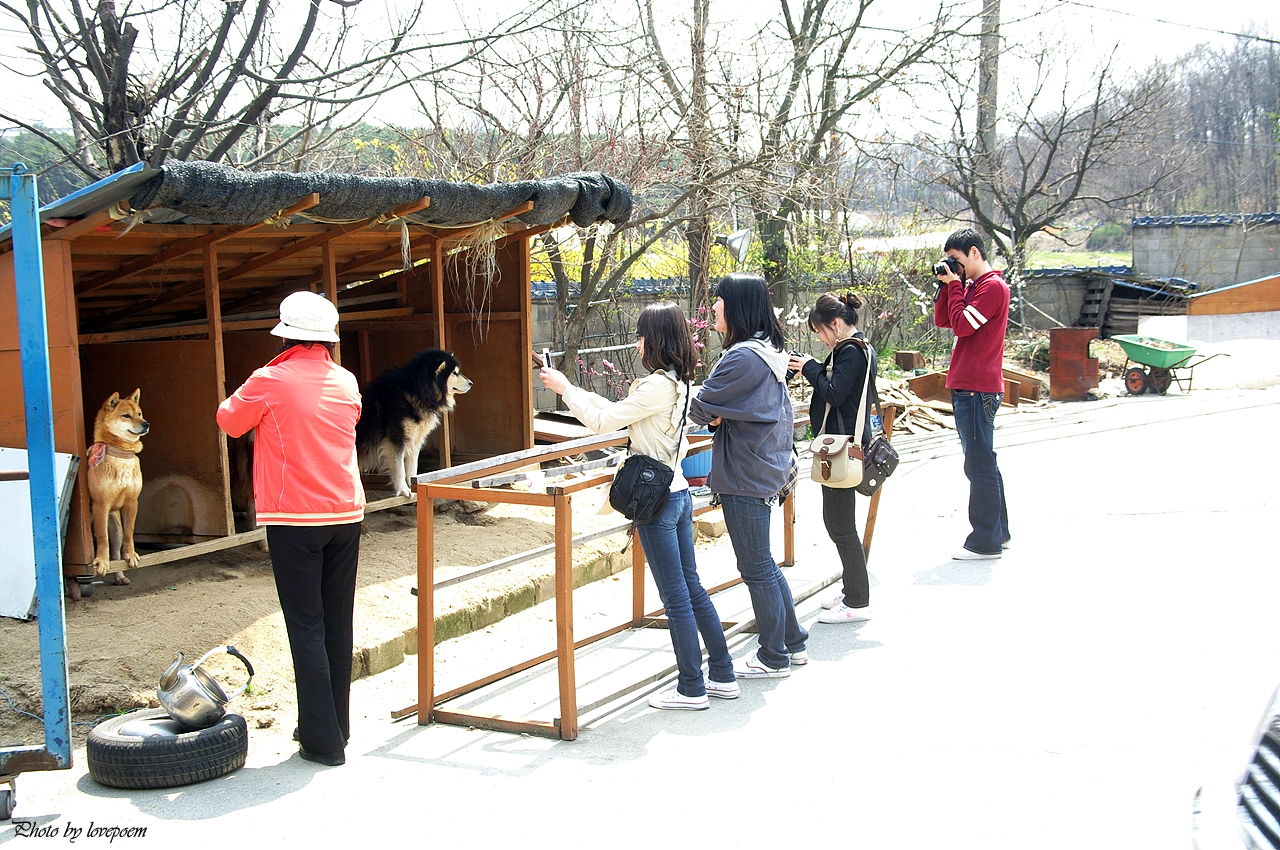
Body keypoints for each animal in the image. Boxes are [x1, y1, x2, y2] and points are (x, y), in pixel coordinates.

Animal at [85, 389, 148, 583]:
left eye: (139, 414)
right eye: (126, 416)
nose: (146, 424)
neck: (122, 455)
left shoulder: (132, 502)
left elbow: (129, 532)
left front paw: (131, 554)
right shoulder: (101, 505)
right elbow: (102, 538)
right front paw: (101, 561)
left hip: (116, 527)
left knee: (116, 552)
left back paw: (119, 577)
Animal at [358, 348, 473, 494]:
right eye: (454, 373)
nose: (471, 383)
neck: (416, 391)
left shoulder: (415, 439)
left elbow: (412, 467)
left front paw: (414, 486)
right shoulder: (395, 440)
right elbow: (399, 468)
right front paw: (403, 490)